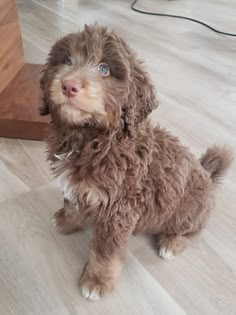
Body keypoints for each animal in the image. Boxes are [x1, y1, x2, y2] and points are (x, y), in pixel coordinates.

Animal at [39, 24, 233, 302]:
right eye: (66, 60)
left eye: (104, 69)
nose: (69, 86)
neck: (91, 137)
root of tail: (207, 175)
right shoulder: (79, 187)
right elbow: (72, 204)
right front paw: (66, 220)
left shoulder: (119, 211)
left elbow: (105, 253)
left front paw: (96, 281)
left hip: (187, 210)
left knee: (191, 230)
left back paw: (171, 243)